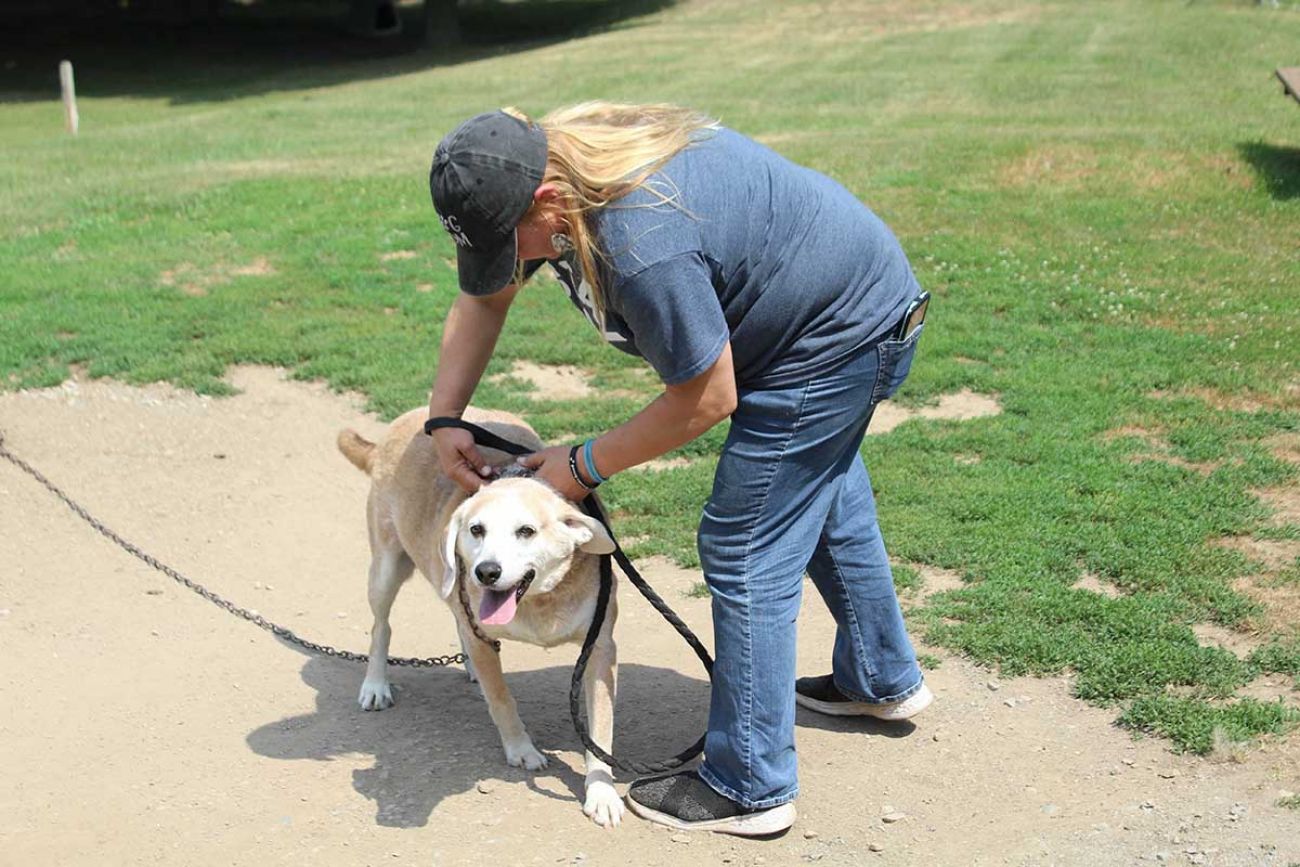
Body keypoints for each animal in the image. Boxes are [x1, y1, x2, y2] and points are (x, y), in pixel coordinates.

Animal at [332, 408, 621, 826]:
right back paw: (376, 685)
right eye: (476, 529)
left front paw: (602, 793)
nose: (486, 572)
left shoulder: (600, 648)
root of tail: (405, 420)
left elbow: (600, 728)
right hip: (387, 568)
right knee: (380, 627)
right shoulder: (483, 636)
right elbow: (501, 699)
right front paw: (521, 749)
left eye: (526, 531)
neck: (539, 603)